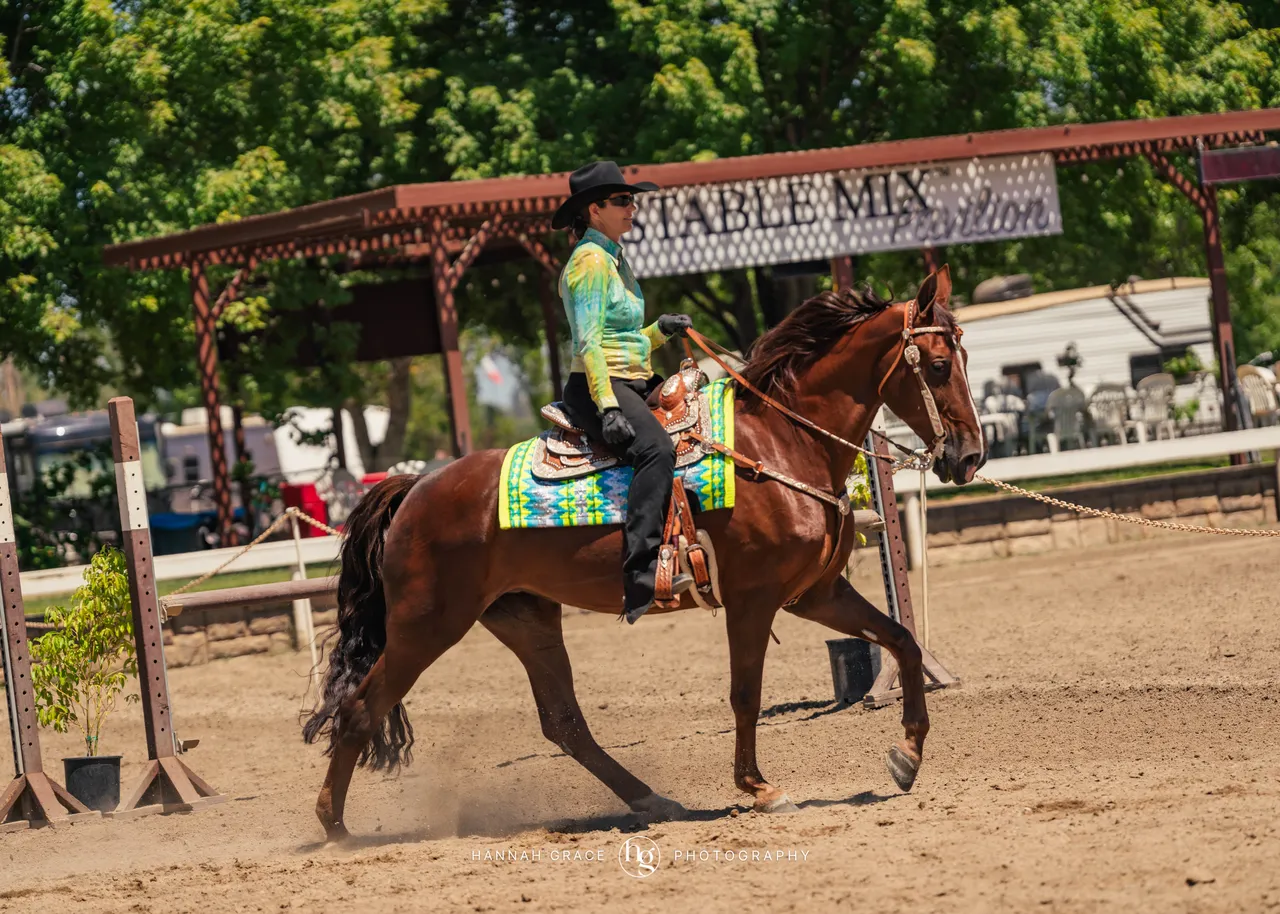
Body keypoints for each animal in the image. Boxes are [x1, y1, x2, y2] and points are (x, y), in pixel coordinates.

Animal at [302, 264, 985, 841]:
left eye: (964, 355)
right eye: (939, 364)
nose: (970, 456)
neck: (781, 441)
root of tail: (415, 487)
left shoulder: (815, 592)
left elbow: (902, 640)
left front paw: (908, 755)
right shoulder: (755, 598)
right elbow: (746, 692)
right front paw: (759, 788)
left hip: (524, 618)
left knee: (564, 723)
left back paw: (653, 799)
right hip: (427, 625)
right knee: (360, 709)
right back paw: (335, 829)